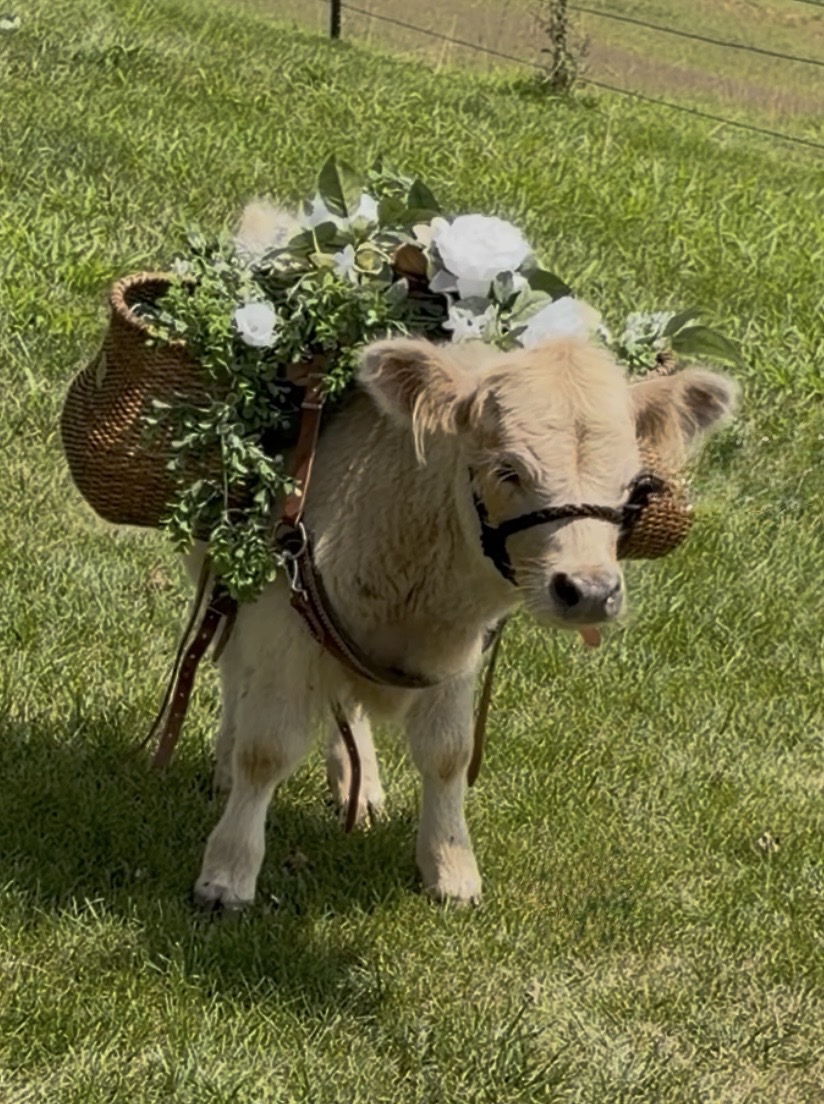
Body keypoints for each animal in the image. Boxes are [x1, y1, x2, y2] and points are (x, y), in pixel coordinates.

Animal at [189, 321, 736, 910]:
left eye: (634, 486)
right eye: (507, 469)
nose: (589, 591)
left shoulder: (460, 650)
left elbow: (448, 753)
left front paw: (451, 869)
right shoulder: (280, 623)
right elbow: (265, 750)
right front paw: (226, 874)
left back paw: (361, 791)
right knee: (233, 670)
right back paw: (226, 767)